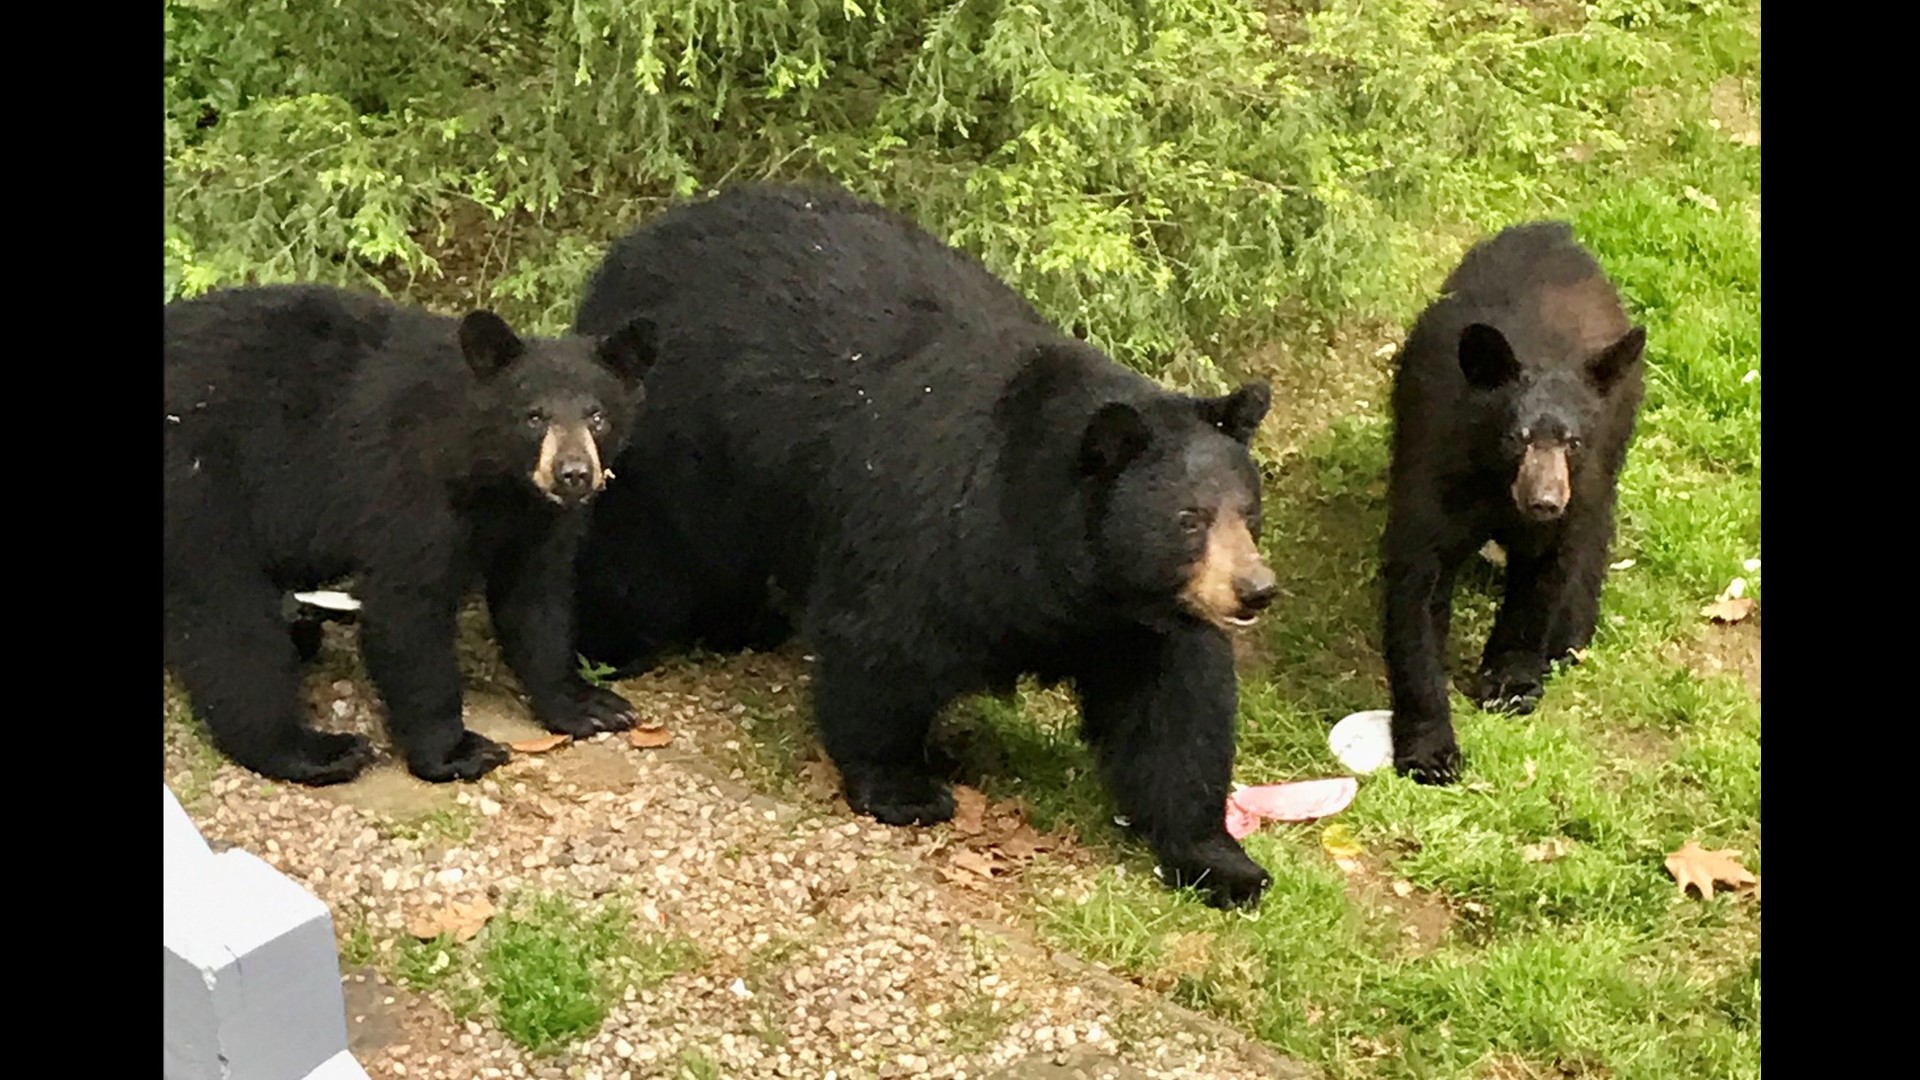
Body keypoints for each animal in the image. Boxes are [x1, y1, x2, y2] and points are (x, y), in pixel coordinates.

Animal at [159, 278, 652, 780]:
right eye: (533, 416)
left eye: (598, 415)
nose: (573, 474)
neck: (490, 477)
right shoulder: (406, 489)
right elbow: (408, 610)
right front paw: (455, 750)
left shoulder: (535, 519)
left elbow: (537, 600)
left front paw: (587, 703)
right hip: (201, 486)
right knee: (230, 621)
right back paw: (314, 749)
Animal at [576, 187, 1282, 907]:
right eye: (1189, 519)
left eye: (1248, 512)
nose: (1255, 590)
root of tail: (638, 241)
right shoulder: (934, 529)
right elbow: (883, 646)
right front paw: (904, 787)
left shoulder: (1135, 622)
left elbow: (1176, 711)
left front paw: (1223, 863)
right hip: (676, 436)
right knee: (642, 554)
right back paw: (608, 649)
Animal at [1382, 222, 1651, 776]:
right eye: (1516, 437)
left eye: (1571, 441)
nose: (1545, 500)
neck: (1498, 488)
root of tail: (1554, 230)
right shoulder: (1433, 471)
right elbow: (1416, 589)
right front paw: (1430, 751)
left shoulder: (1576, 486)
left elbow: (1546, 576)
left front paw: (1511, 683)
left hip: (1613, 445)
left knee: (1595, 527)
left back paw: (1571, 634)